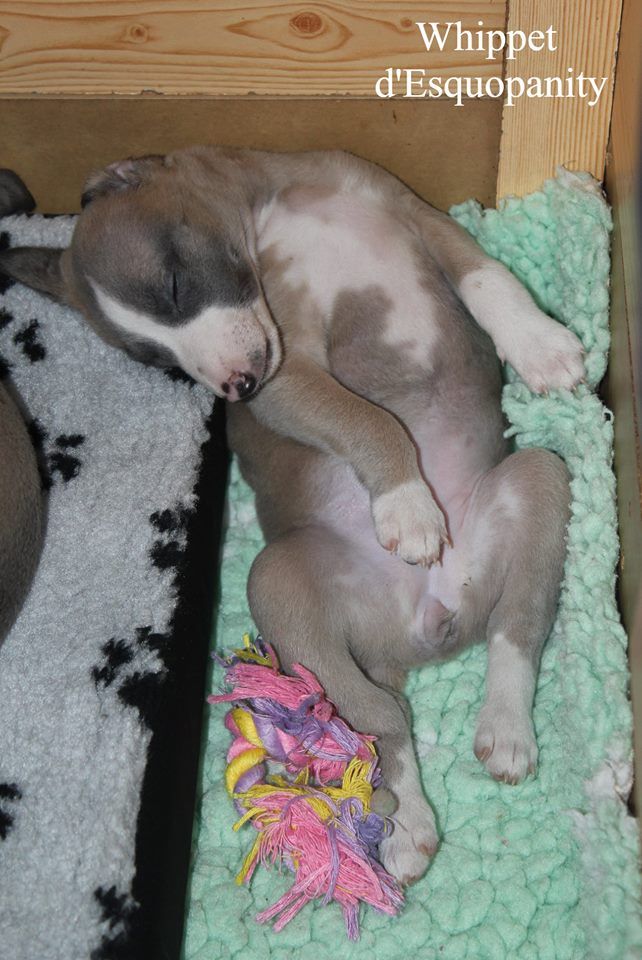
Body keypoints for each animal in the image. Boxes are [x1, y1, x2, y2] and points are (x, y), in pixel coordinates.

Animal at [0, 150, 580, 884]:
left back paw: (504, 729)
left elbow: (488, 277)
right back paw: (408, 827)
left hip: (541, 479)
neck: (279, 206)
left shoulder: (418, 217)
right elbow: (365, 418)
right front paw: (407, 503)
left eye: (174, 286)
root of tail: (424, 627)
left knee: (515, 630)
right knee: (380, 718)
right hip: (279, 582)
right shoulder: (287, 370)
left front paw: (541, 346)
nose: (233, 389)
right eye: (156, 361)